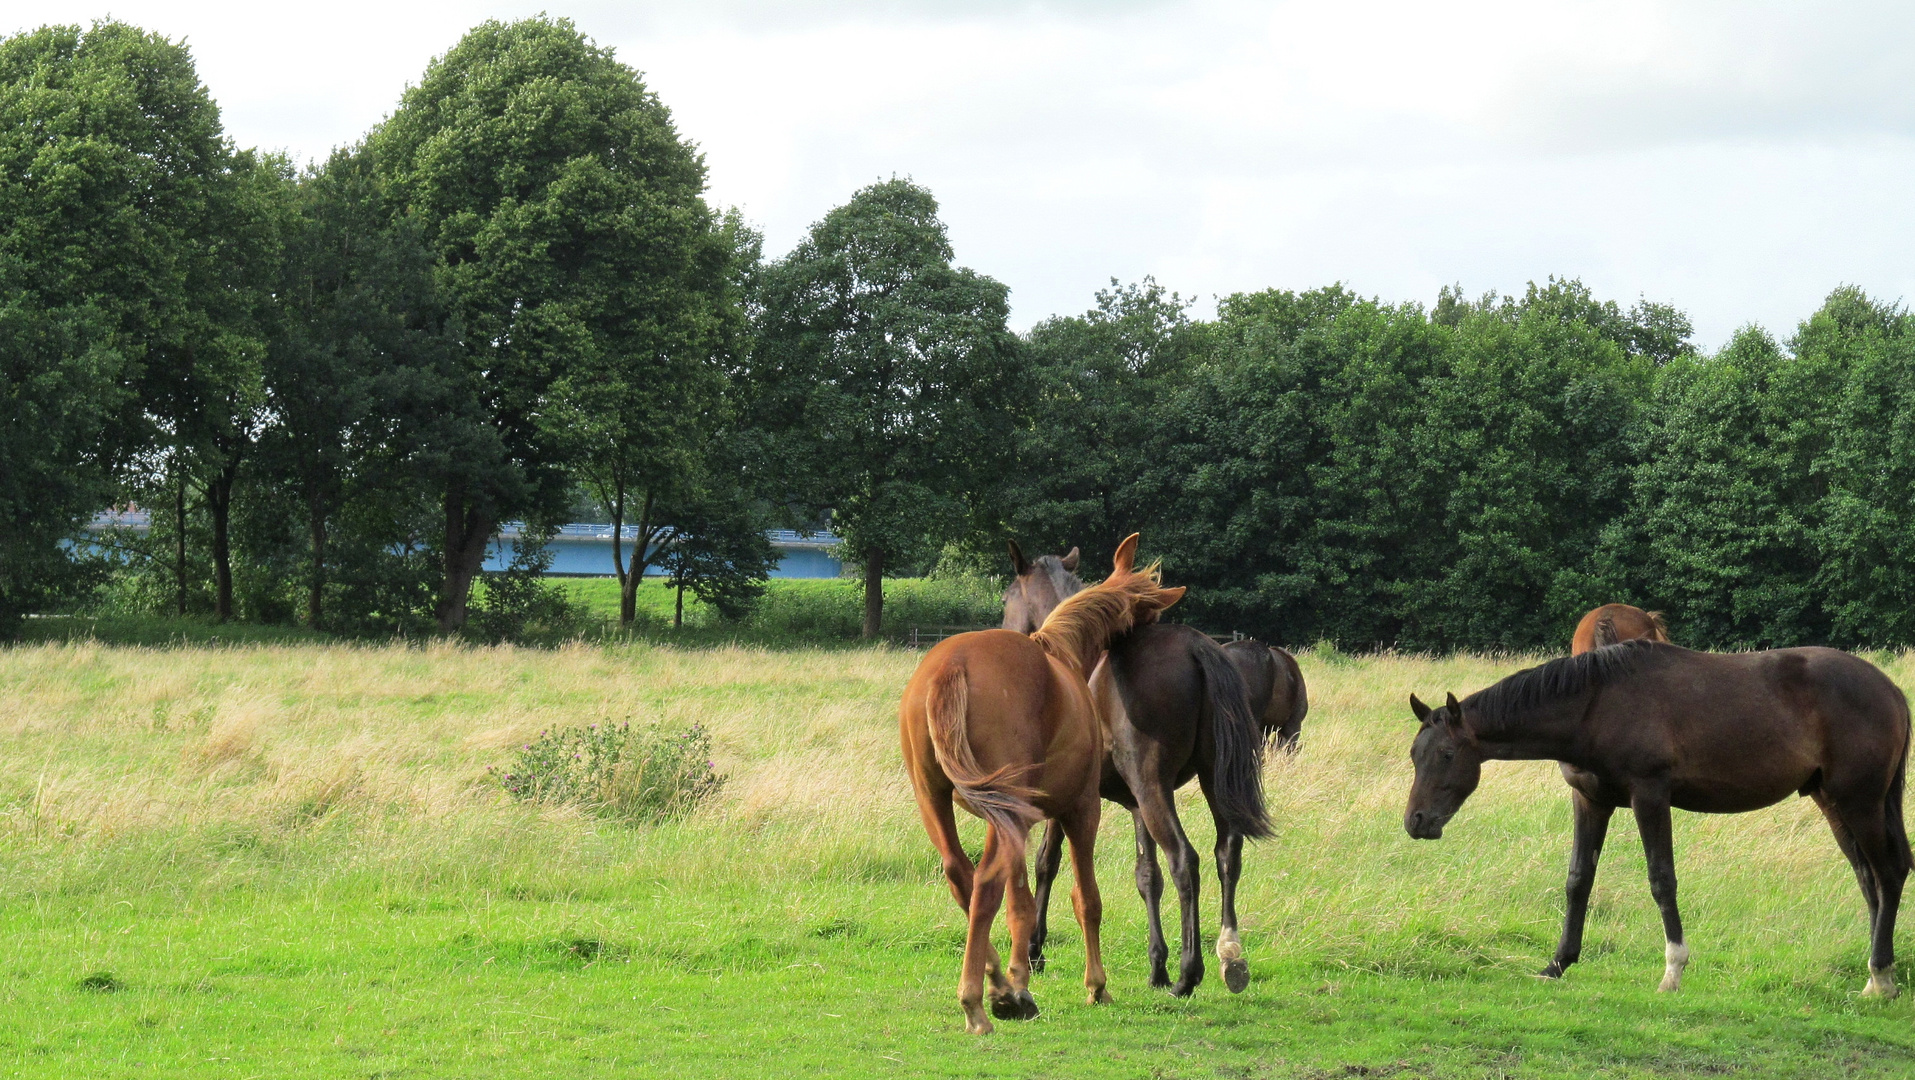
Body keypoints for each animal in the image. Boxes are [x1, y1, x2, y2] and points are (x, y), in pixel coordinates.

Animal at [896, 536, 1179, 1034]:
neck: (1061, 653)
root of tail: (952, 665)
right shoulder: (1080, 810)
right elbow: (1086, 899)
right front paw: (1096, 985)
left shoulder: (1016, 820)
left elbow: (1021, 902)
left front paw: (1017, 978)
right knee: (986, 883)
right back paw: (977, 1003)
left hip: (937, 799)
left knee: (962, 876)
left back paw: (999, 988)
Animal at [1003, 543, 1302, 1003]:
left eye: (1006, 599)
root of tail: (1197, 649)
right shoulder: (1135, 805)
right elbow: (1147, 876)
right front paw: (1155, 965)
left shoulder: (1075, 796)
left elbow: (1046, 862)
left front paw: (1035, 950)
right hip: (1205, 781)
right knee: (1226, 854)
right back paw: (1229, 956)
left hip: (1153, 787)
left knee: (1185, 860)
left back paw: (1189, 971)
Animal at [1401, 635, 1907, 1003]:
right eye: (1413, 754)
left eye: (1446, 755)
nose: (1416, 821)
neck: (1595, 705)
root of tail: (1891, 690)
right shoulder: (1590, 801)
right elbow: (1578, 880)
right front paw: (1557, 964)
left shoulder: (1650, 796)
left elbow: (1662, 880)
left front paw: (1673, 970)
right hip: (1832, 802)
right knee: (1869, 880)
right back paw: (1874, 976)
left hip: (1859, 801)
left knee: (1889, 873)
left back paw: (1882, 976)